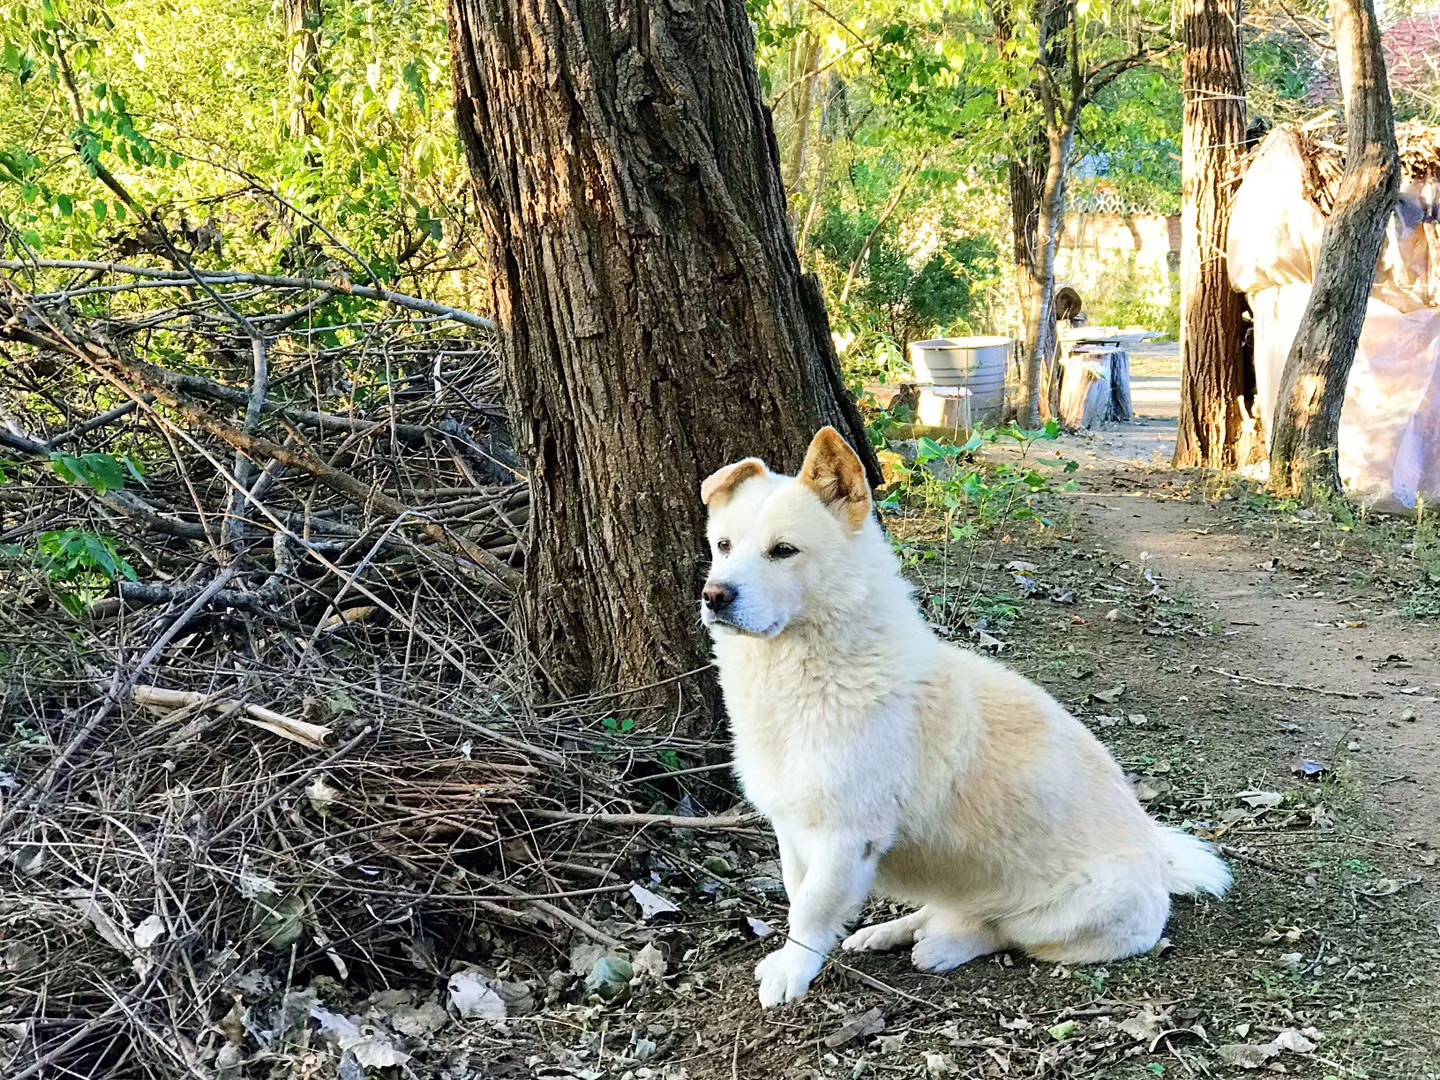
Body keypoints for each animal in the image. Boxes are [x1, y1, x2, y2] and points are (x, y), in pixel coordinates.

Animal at [696, 426, 1226, 1013]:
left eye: (783, 551)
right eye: (723, 546)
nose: (714, 596)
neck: (810, 674)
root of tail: (1159, 860)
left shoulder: (846, 837)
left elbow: (810, 908)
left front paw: (792, 971)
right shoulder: (792, 829)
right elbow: (796, 895)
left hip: (1073, 912)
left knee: (999, 929)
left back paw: (942, 947)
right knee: (952, 908)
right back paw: (891, 931)